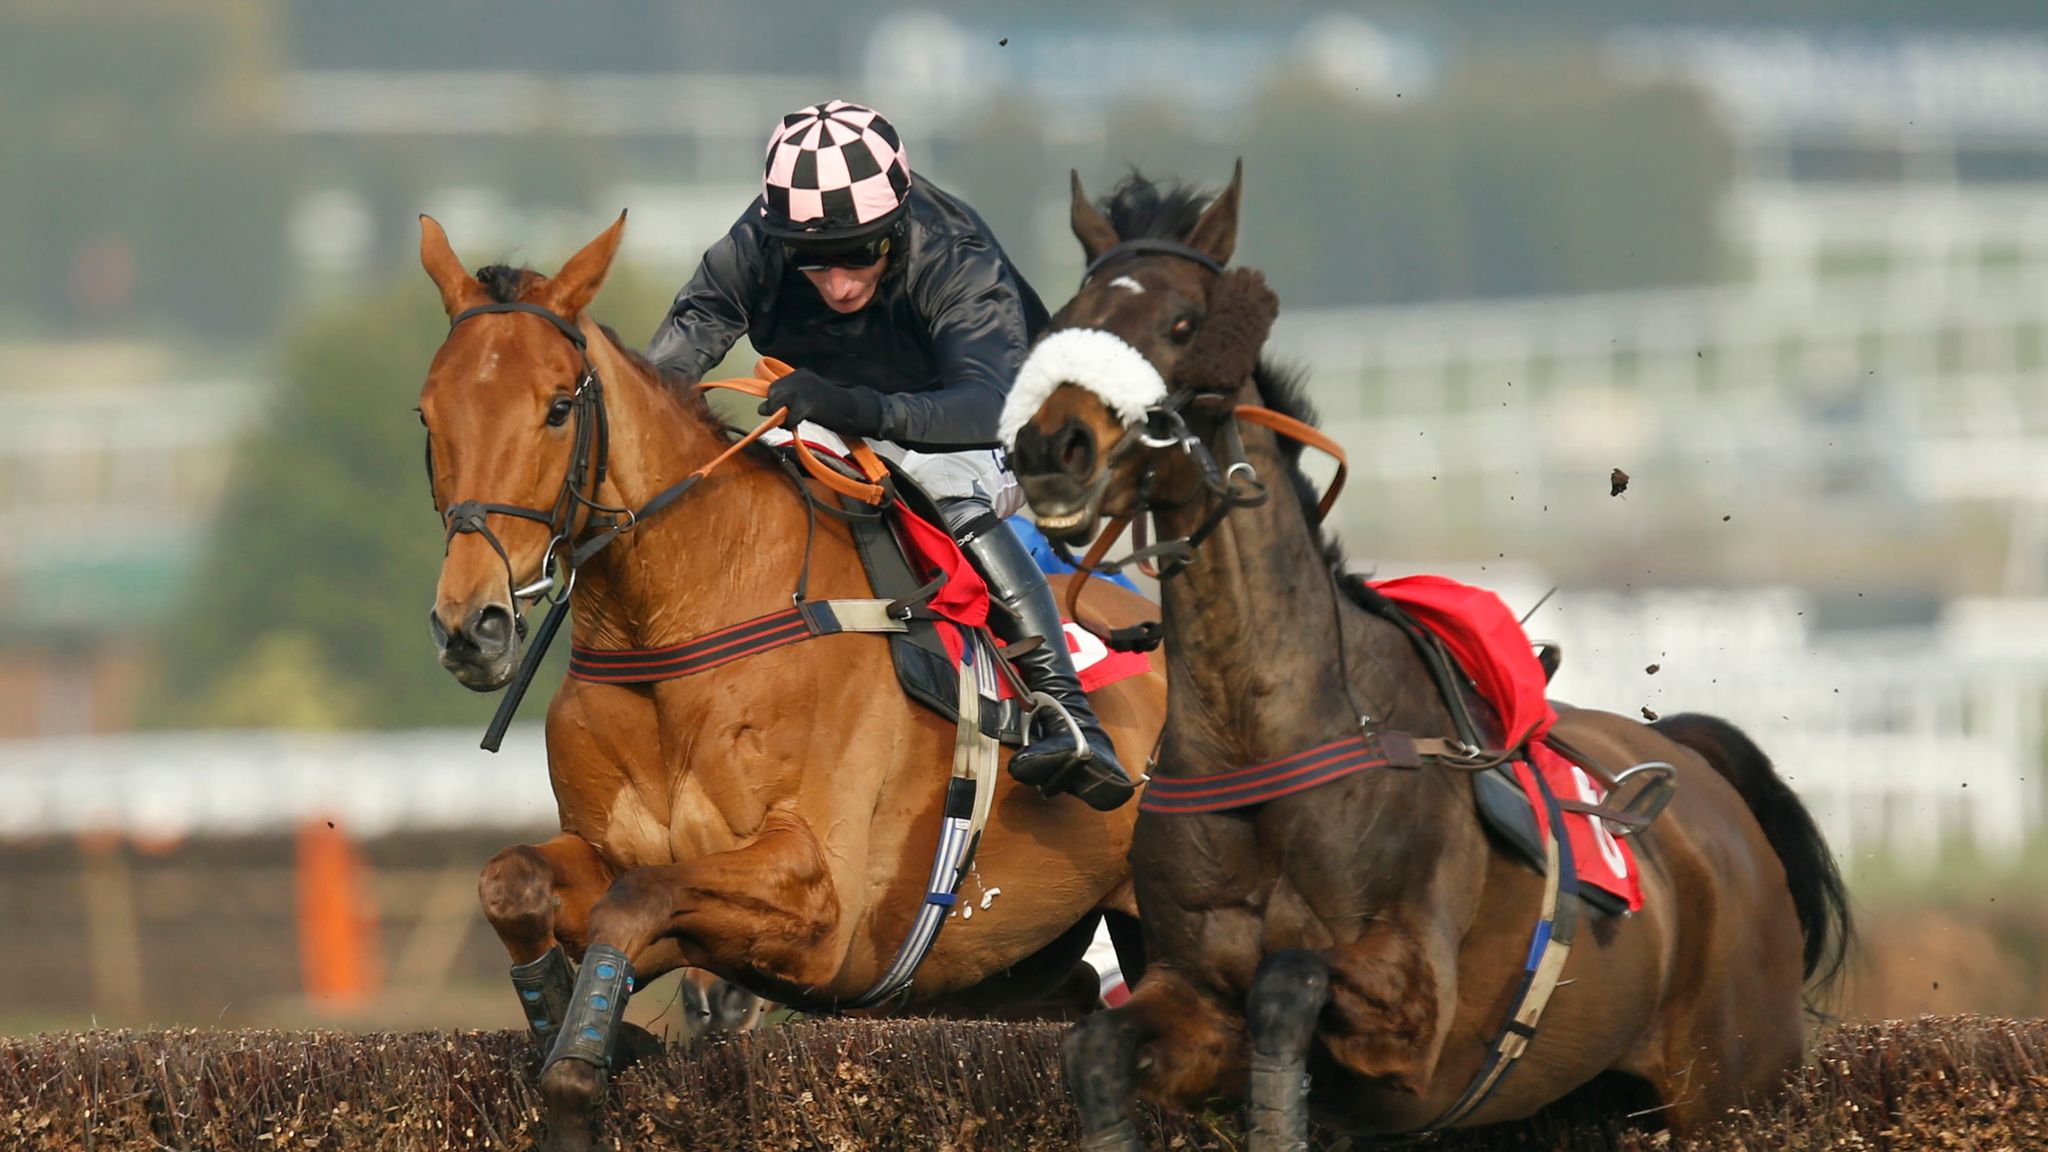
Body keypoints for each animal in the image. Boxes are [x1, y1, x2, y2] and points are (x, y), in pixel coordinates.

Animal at [411, 211, 1171, 1139]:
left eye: (558, 409)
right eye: (428, 413)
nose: (471, 625)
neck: (674, 623)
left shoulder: (821, 909)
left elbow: (635, 898)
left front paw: (584, 1058)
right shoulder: (614, 857)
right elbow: (516, 882)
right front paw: (575, 1021)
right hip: (1029, 967)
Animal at [1003, 166, 1859, 1139]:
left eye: (1182, 323)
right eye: (1069, 316)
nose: (1052, 445)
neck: (1262, 734)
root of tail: (1706, 781)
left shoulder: (1413, 1011)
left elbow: (1284, 982)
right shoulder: (1188, 994)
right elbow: (1098, 1045)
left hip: (1734, 1087)